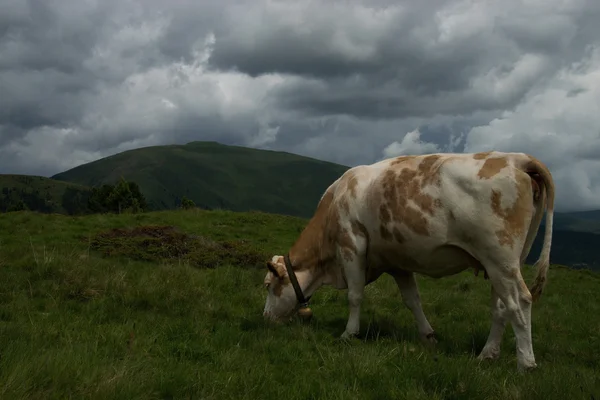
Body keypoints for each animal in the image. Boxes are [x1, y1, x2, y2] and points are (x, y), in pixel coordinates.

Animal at [264, 151, 556, 372]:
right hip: (501, 263)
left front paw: (349, 333)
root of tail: (517, 158)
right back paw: (487, 354)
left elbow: (355, 296)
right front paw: (428, 336)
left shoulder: (351, 244)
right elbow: (412, 300)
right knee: (501, 308)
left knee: (520, 302)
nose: (265, 317)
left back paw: (526, 363)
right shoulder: (397, 262)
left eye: (268, 285)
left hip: (499, 258)